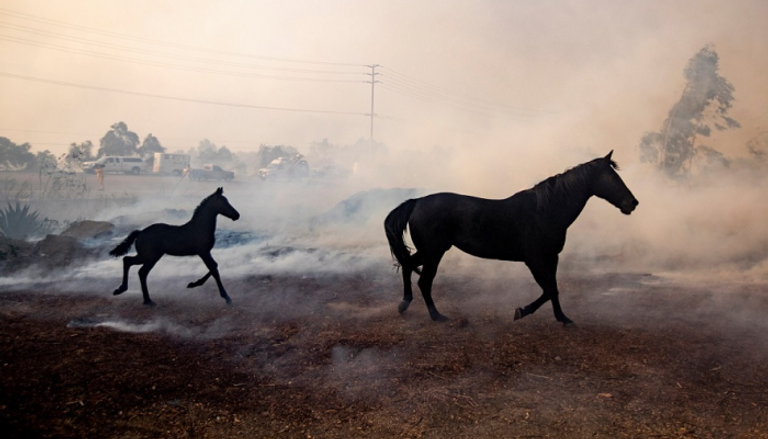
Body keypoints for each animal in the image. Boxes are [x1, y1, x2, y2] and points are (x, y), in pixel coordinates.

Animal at [109, 187, 240, 308]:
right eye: (224, 202)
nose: (237, 215)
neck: (200, 227)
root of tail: (140, 233)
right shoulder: (203, 252)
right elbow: (213, 268)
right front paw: (226, 298)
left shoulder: (204, 252)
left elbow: (214, 267)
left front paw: (193, 284)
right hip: (149, 256)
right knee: (134, 265)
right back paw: (135, 295)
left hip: (150, 256)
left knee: (135, 267)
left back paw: (140, 297)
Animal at [388, 152, 640, 326]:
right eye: (612, 177)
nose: (633, 203)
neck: (545, 210)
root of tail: (417, 202)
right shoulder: (534, 259)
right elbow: (548, 289)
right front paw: (521, 312)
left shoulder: (551, 258)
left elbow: (554, 288)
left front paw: (562, 318)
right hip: (434, 252)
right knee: (424, 281)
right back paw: (436, 315)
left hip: (429, 251)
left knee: (408, 265)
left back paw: (404, 303)